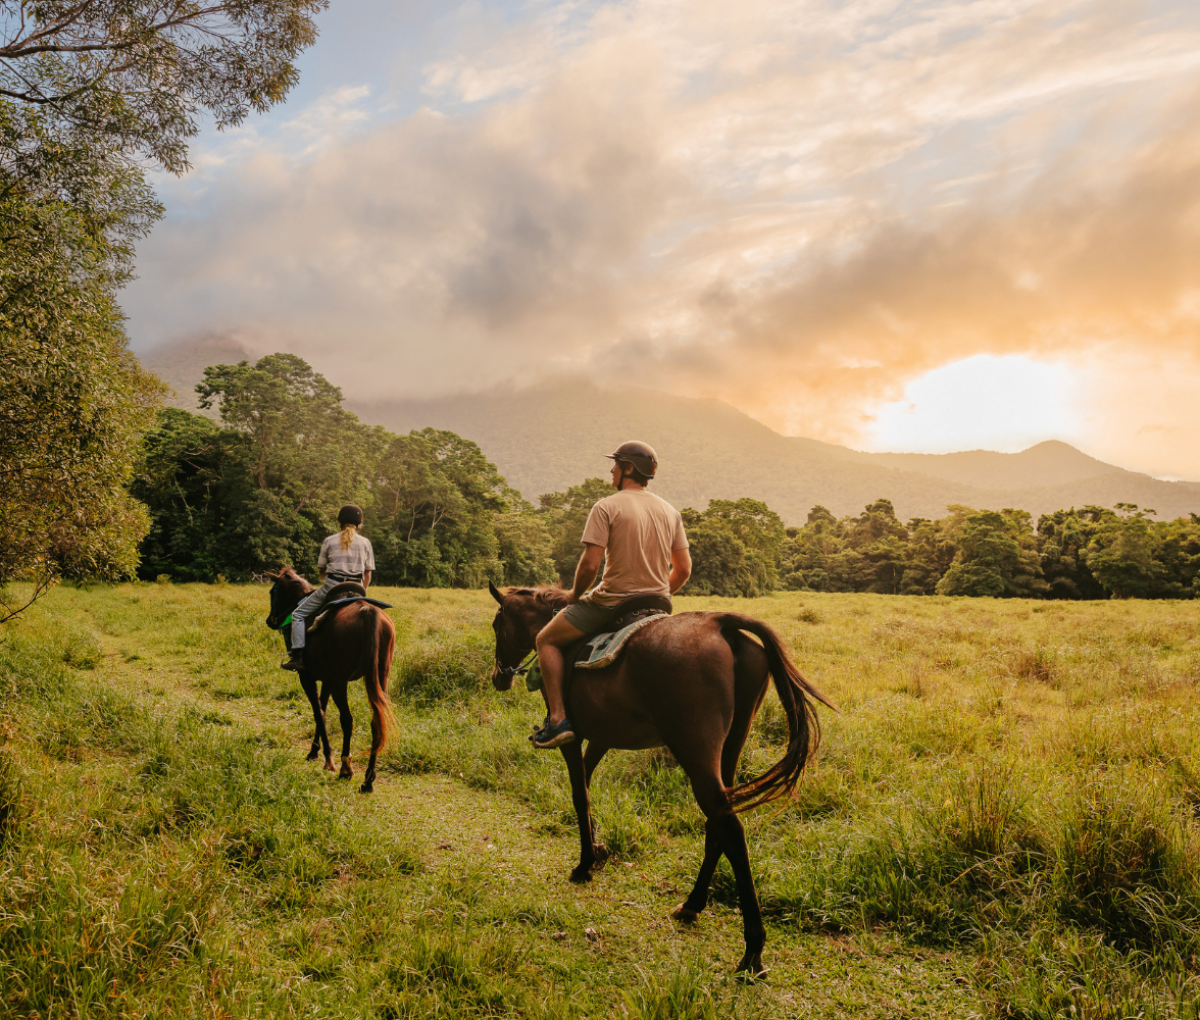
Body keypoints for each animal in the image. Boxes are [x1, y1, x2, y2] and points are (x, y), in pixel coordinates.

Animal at [265, 568, 396, 792]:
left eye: (272, 592)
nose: (270, 621)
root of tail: (367, 613)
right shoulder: (326, 679)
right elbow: (323, 709)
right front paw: (315, 752)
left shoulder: (308, 677)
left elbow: (318, 713)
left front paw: (327, 759)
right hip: (379, 677)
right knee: (376, 720)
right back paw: (368, 779)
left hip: (340, 682)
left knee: (347, 720)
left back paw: (345, 768)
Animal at [487, 580, 835, 969]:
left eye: (497, 625)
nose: (499, 676)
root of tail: (720, 624)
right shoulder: (602, 736)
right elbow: (588, 784)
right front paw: (598, 848)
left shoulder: (572, 736)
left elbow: (580, 794)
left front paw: (585, 863)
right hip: (731, 745)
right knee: (718, 820)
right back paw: (693, 905)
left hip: (694, 748)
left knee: (729, 827)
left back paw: (752, 950)